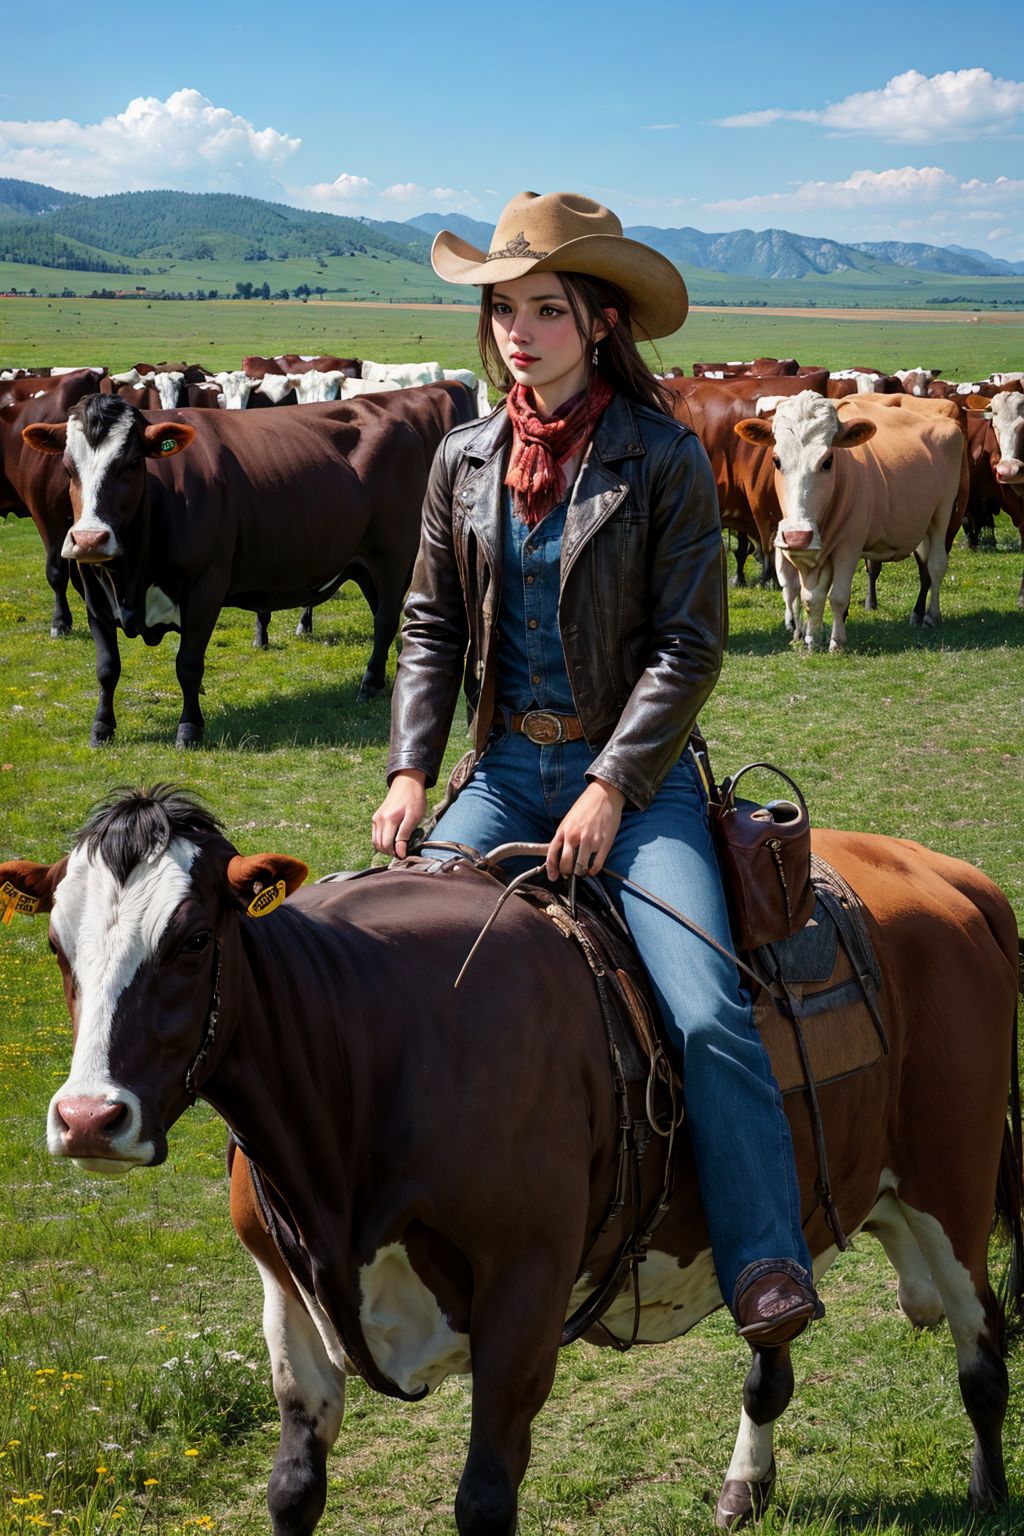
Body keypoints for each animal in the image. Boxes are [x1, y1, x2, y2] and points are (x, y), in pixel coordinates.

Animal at [736, 393, 964, 651]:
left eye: (827, 461)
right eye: (776, 460)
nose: (797, 536)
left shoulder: (848, 546)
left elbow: (837, 597)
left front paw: (837, 641)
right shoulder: (812, 553)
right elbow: (810, 596)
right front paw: (811, 638)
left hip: (942, 515)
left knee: (936, 565)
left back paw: (931, 615)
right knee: (924, 566)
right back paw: (917, 614)